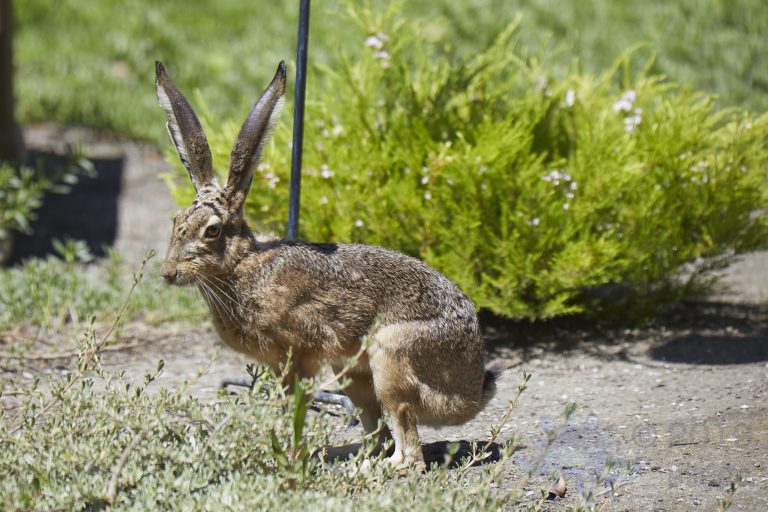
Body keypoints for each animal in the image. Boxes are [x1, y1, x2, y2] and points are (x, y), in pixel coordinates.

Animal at [155, 60, 500, 471]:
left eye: (212, 230)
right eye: (175, 221)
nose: (169, 273)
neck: (242, 265)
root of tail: (472, 391)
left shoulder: (297, 356)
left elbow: (294, 408)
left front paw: (289, 457)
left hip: (391, 357)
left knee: (409, 451)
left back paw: (371, 469)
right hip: (351, 372)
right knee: (378, 432)